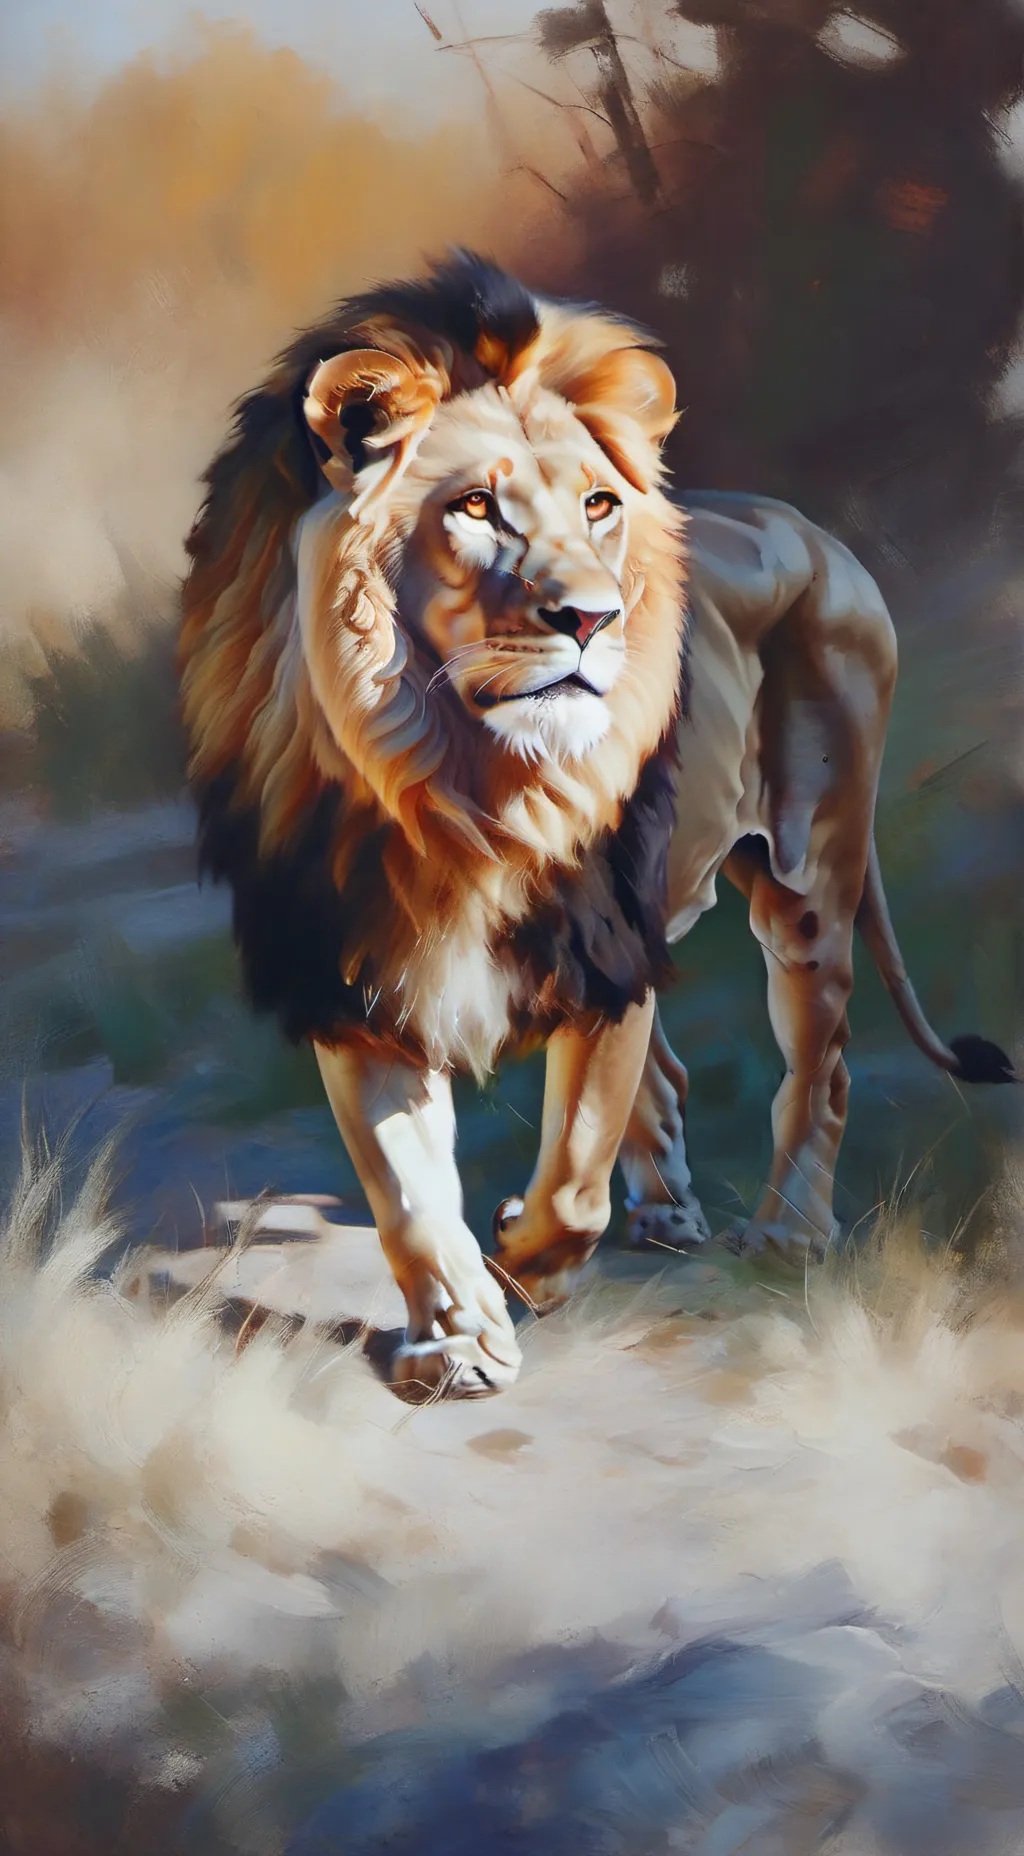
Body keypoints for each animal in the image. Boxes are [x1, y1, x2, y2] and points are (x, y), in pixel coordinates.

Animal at [180, 251, 1014, 1397]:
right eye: (475, 506)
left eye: (598, 505)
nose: (592, 618)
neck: (452, 784)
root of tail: (816, 531)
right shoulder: (355, 972)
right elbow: (405, 1188)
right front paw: (457, 1343)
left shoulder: (603, 938)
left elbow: (574, 1177)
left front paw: (521, 1264)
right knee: (672, 1074)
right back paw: (665, 1213)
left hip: (809, 876)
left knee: (822, 1061)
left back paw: (786, 1235)